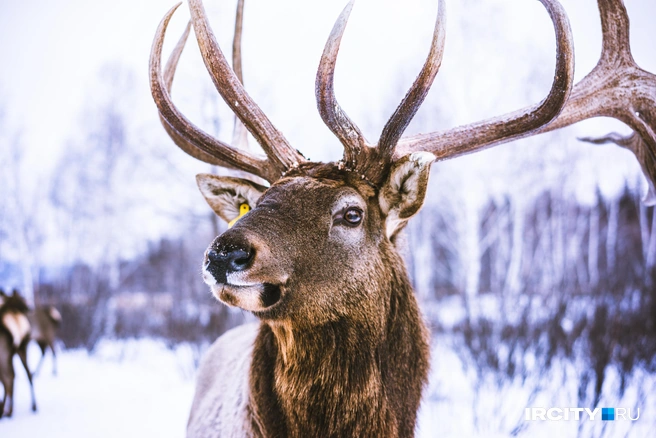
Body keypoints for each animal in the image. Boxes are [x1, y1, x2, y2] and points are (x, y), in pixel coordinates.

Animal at [0, 290, 37, 420]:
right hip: (21, 348)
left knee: (8, 377)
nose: (30, 307)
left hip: (4, 352)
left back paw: (5, 412)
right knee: (27, 373)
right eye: (21, 298)